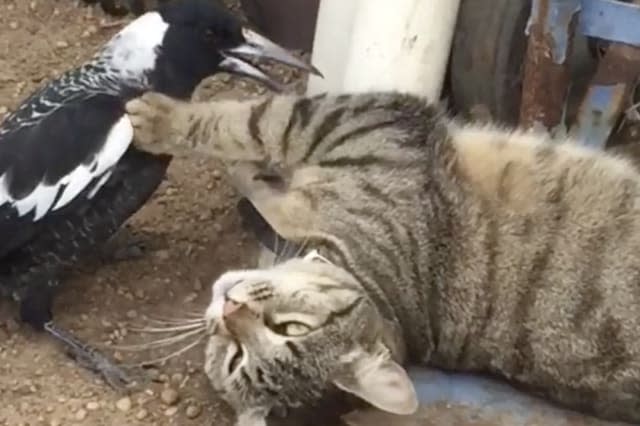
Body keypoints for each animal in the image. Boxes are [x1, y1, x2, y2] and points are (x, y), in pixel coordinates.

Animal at [126, 91, 640, 424]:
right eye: (235, 358)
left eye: (290, 329)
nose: (230, 308)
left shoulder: (364, 123)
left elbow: (257, 122)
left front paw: (161, 119)